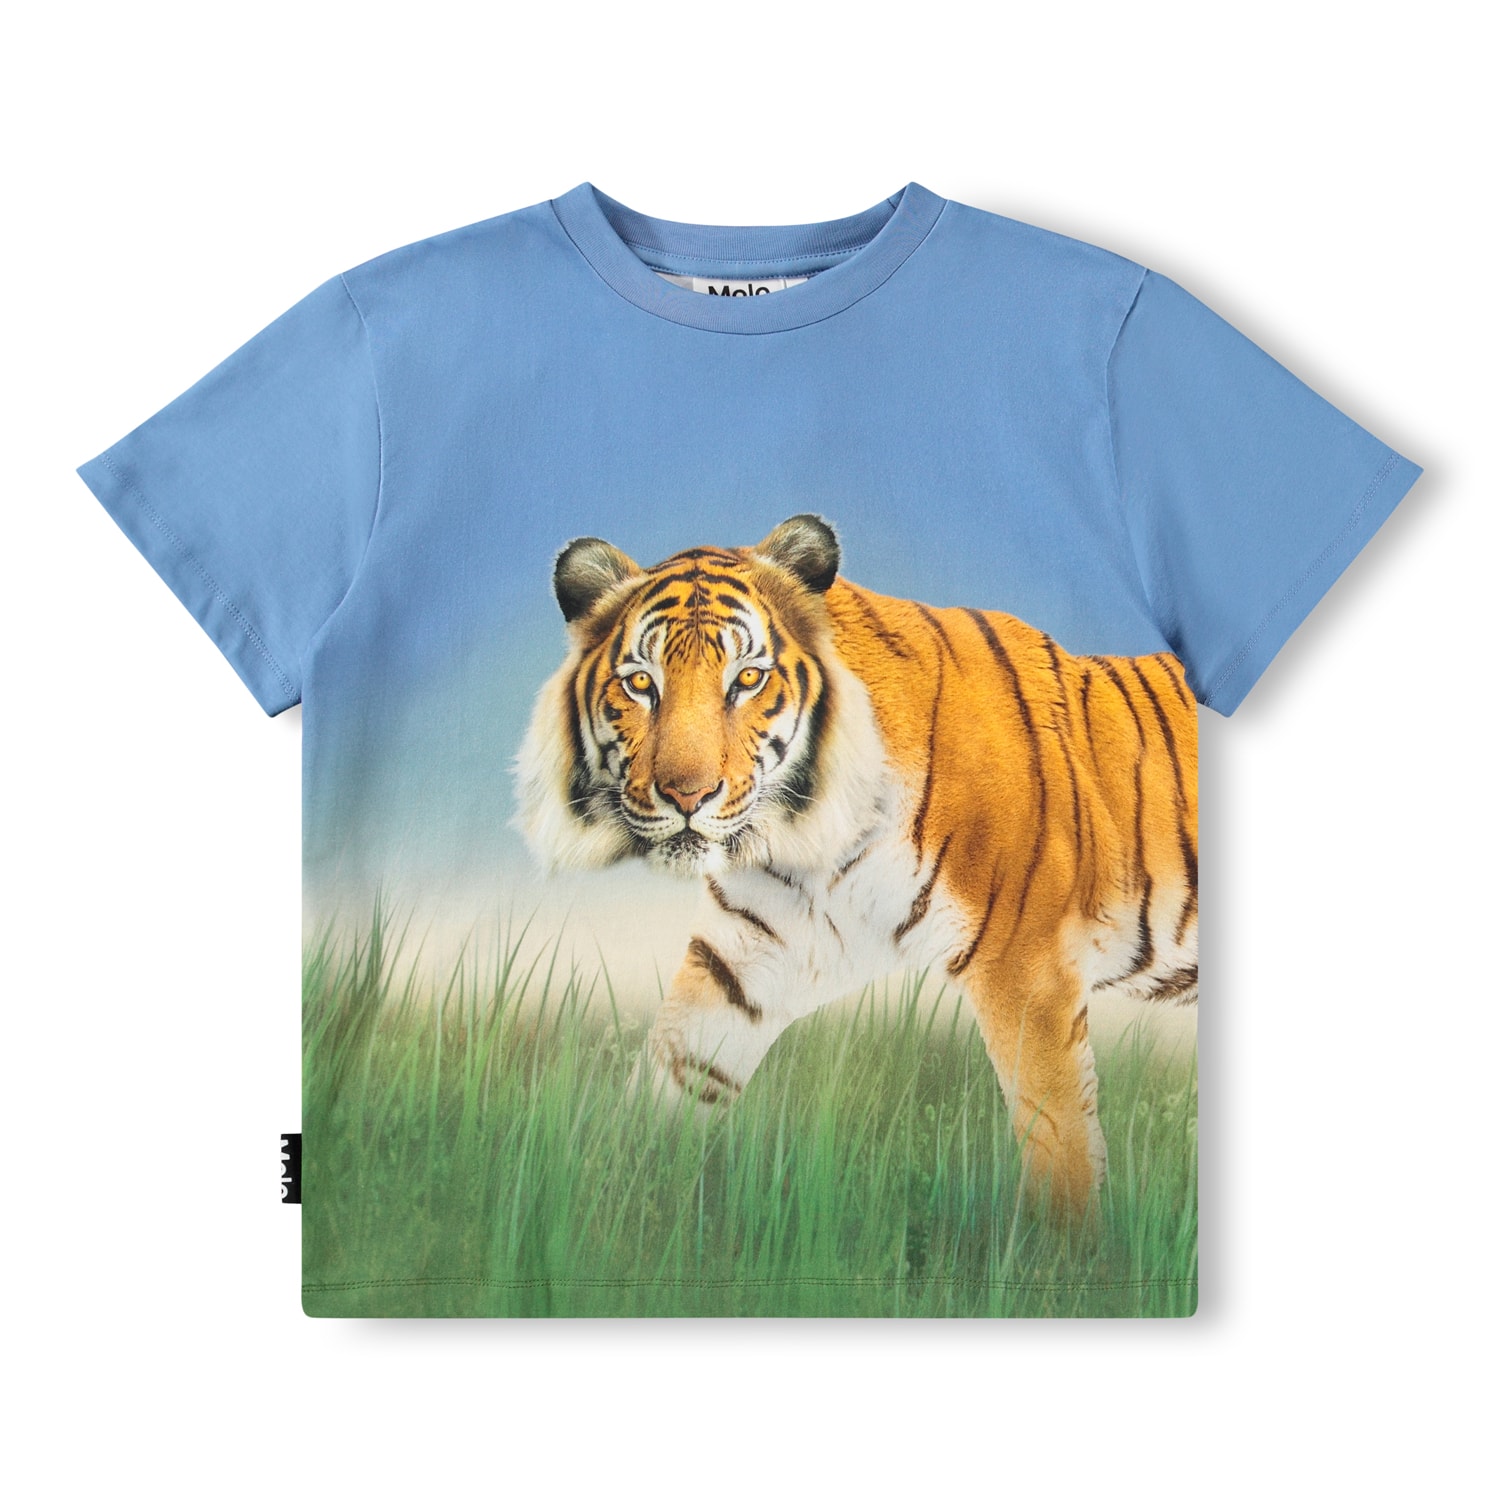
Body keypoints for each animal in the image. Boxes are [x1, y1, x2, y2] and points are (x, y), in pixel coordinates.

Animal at [514, 515, 1198, 1215]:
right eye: (641, 683)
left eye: (747, 680)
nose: (687, 795)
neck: (812, 842)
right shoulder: (741, 959)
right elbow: (666, 1087)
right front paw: (615, 1207)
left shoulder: (1028, 965)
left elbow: (1059, 1144)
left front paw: (1057, 1243)